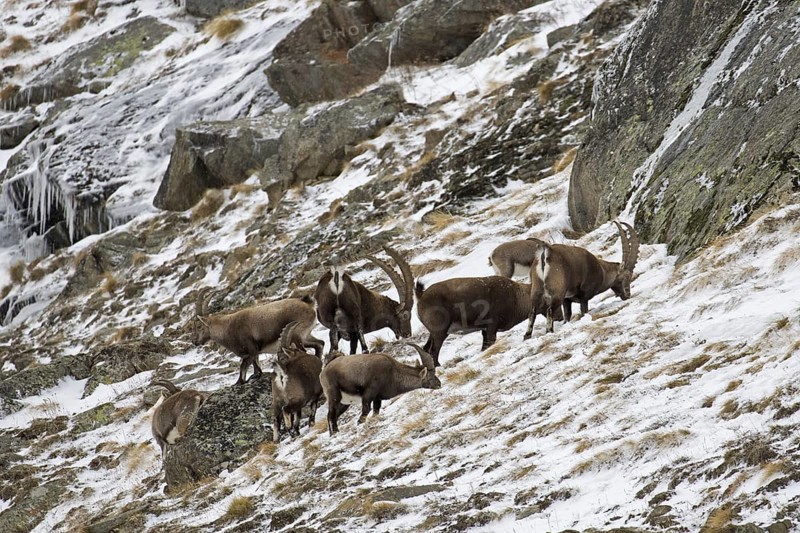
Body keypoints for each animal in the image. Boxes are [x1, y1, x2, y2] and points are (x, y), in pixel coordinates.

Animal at [193, 289, 324, 385]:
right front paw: (242, 380)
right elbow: (248, 365)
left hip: (296, 336)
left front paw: (253, 377)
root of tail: (308, 303)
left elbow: (248, 366)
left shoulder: (252, 348)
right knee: (320, 344)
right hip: (306, 336)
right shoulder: (251, 353)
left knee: (305, 351)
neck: (227, 327)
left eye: (199, 326)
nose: (195, 342)